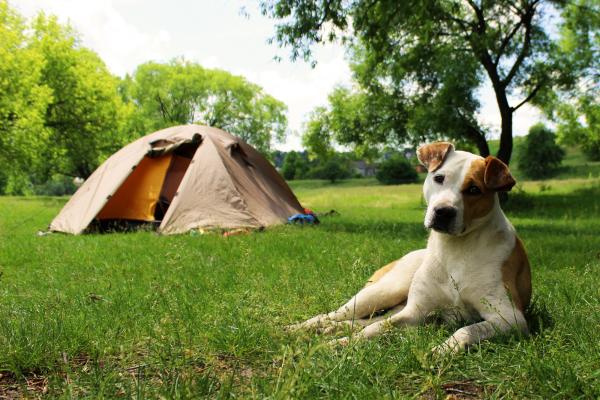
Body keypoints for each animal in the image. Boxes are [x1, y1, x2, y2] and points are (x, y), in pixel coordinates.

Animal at [288, 142, 532, 354]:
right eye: (439, 178)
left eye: (474, 189)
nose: (443, 211)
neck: (454, 248)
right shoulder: (415, 312)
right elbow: (376, 328)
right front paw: (337, 345)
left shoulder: (509, 317)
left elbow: (467, 330)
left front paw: (442, 350)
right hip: (384, 291)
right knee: (336, 314)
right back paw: (300, 328)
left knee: (362, 320)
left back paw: (329, 329)